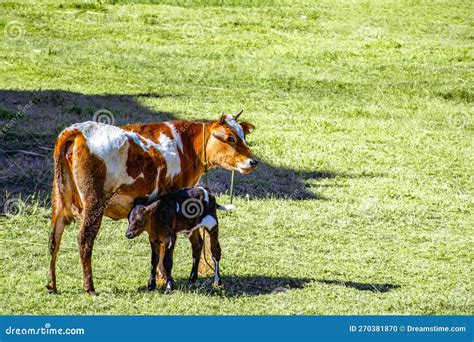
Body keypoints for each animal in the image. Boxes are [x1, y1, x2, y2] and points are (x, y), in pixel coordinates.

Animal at [46, 111, 258, 294]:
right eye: (230, 138)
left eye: (243, 136)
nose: (253, 161)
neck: (186, 145)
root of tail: (77, 131)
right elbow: (165, 248)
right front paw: (164, 278)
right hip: (94, 205)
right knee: (84, 240)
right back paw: (89, 286)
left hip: (59, 201)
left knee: (54, 238)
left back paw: (51, 285)